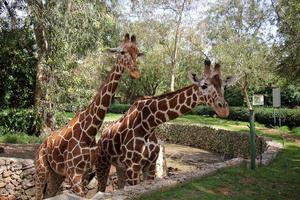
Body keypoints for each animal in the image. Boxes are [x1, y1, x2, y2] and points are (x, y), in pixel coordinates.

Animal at [34, 33, 144, 199]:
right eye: (122, 52)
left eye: (137, 53)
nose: (135, 73)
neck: (89, 131)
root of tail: (43, 143)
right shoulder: (74, 174)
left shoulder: (87, 173)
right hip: (42, 168)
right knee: (38, 194)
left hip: (56, 174)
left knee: (49, 193)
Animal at [96, 59, 237, 191]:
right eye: (203, 86)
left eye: (224, 87)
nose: (224, 110)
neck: (148, 125)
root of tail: (102, 135)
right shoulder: (133, 166)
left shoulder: (150, 165)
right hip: (103, 162)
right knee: (100, 187)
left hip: (119, 166)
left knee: (120, 185)